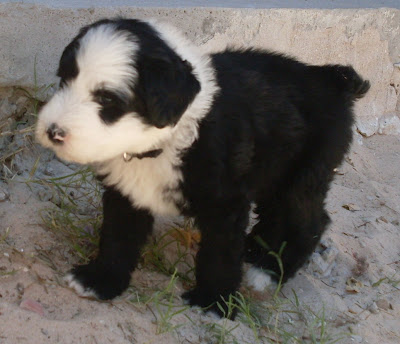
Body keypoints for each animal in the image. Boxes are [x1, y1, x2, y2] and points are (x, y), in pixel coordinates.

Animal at [36, 17, 370, 318]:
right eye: (64, 80)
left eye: (106, 99)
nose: (53, 132)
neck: (170, 138)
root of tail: (333, 79)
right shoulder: (126, 193)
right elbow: (118, 237)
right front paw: (100, 280)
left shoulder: (225, 203)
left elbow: (219, 255)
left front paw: (215, 302)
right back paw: (255, 249)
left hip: (302, 176)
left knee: (310, 222)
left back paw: (268, 270)